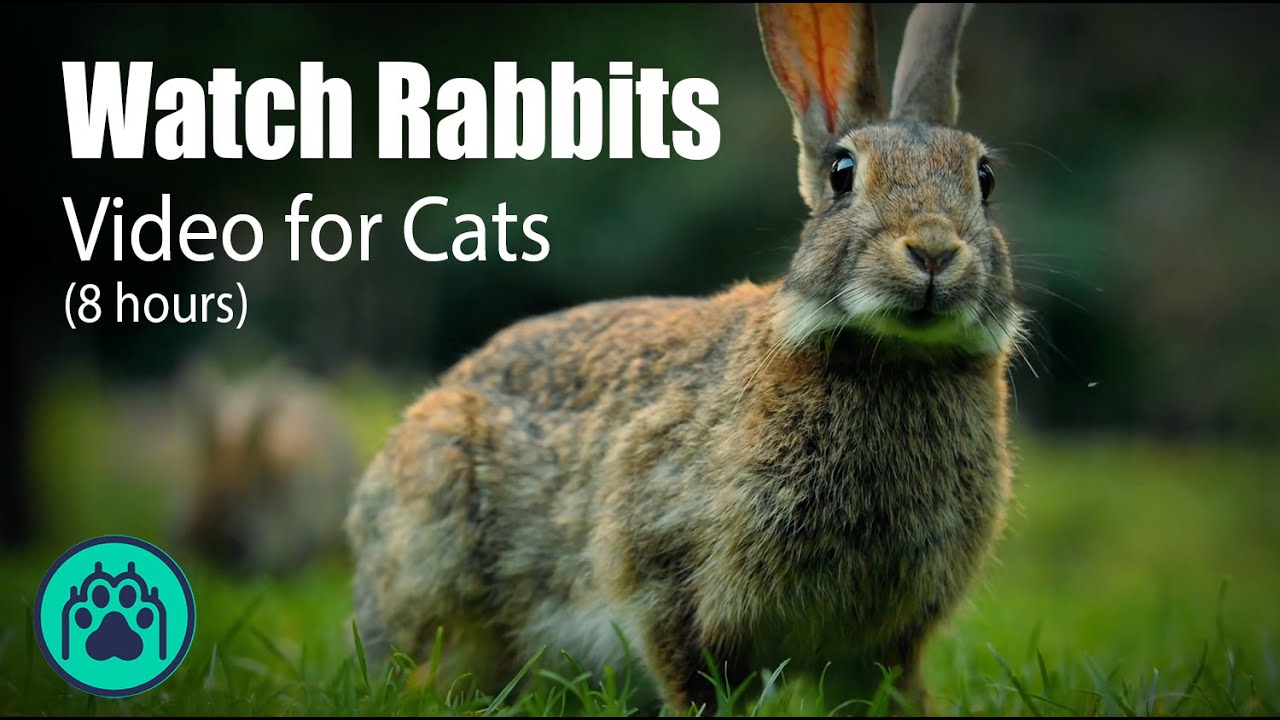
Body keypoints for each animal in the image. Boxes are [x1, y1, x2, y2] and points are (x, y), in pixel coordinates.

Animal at [346, 2, 1022, 714]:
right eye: (843, 174)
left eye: (984, 178)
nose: (933, 250)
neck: (894, 354)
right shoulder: (666, 572)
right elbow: (688, 670)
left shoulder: (884, 640)